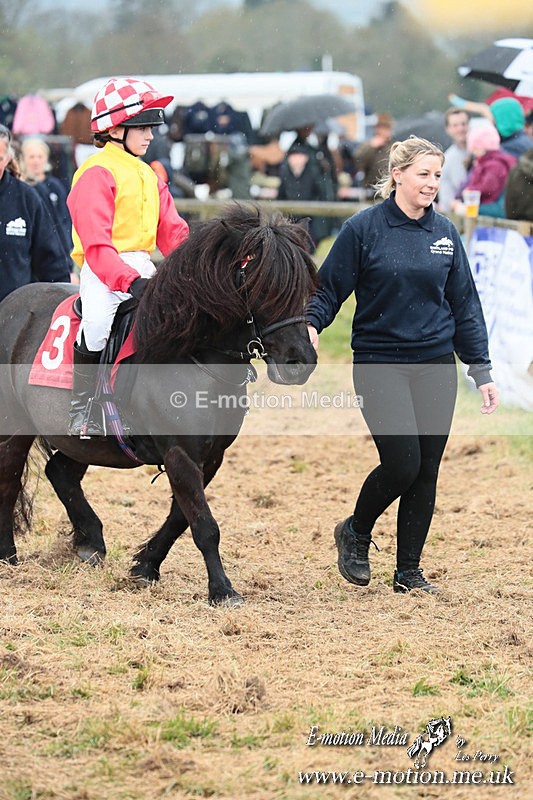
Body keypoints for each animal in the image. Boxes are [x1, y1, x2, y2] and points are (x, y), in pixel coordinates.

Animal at [0, 204, 318, 606]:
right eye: (260, 287)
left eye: (305, 287)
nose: (300, 362)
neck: (190, 352)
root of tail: (10, 304)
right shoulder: (179, 453)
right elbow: (204, 524)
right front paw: (222, 590)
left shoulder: (210, 456)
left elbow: (181, 517)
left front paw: (145, 566)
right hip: (13, 429)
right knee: (9, 481)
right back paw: (8, 556)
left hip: (82, 442)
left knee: (59, 471)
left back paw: (91, 542)